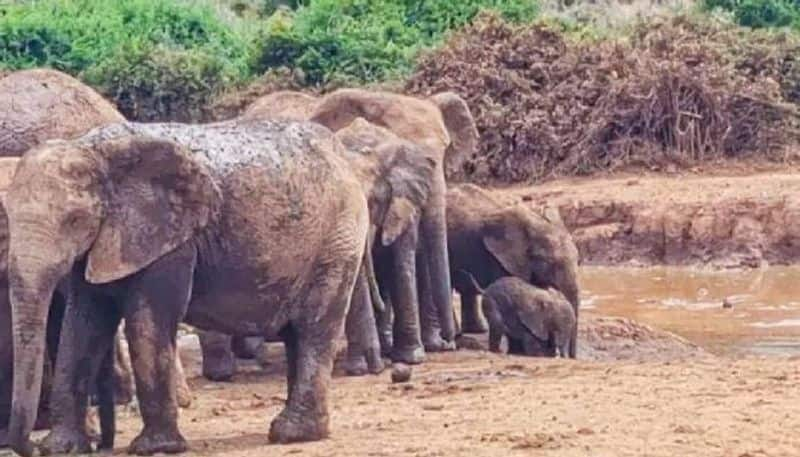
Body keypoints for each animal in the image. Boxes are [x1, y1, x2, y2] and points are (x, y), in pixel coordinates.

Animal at [4, 118, 368, 456]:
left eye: (74, 221)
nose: (29, 447)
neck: (92, 149)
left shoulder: (171, 239)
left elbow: (146, 323)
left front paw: (155, 448)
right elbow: (82, 325)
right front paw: (61, 448)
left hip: (338, 242)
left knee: (313, 328)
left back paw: (291, 433)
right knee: (296, 333)